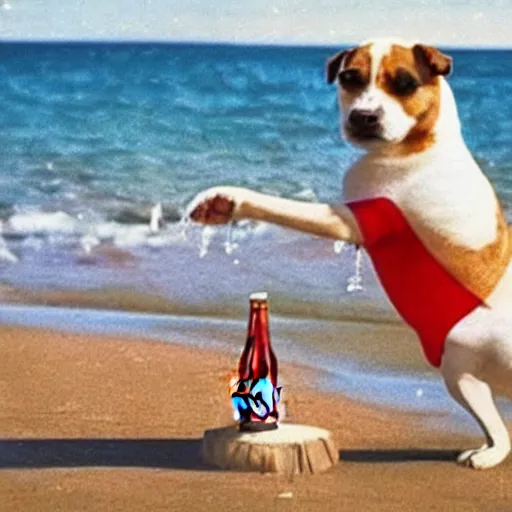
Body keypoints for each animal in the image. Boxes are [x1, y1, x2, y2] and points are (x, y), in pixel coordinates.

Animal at [190, 37, 512, 468]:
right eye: (349, 78)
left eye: (405, 83)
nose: (364, 117)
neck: (423, 141)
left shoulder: (352, 219)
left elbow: (280, 206)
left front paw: (229, 199)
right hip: (462, 377)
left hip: (463, 369)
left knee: (499, 433)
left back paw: (488, 455)